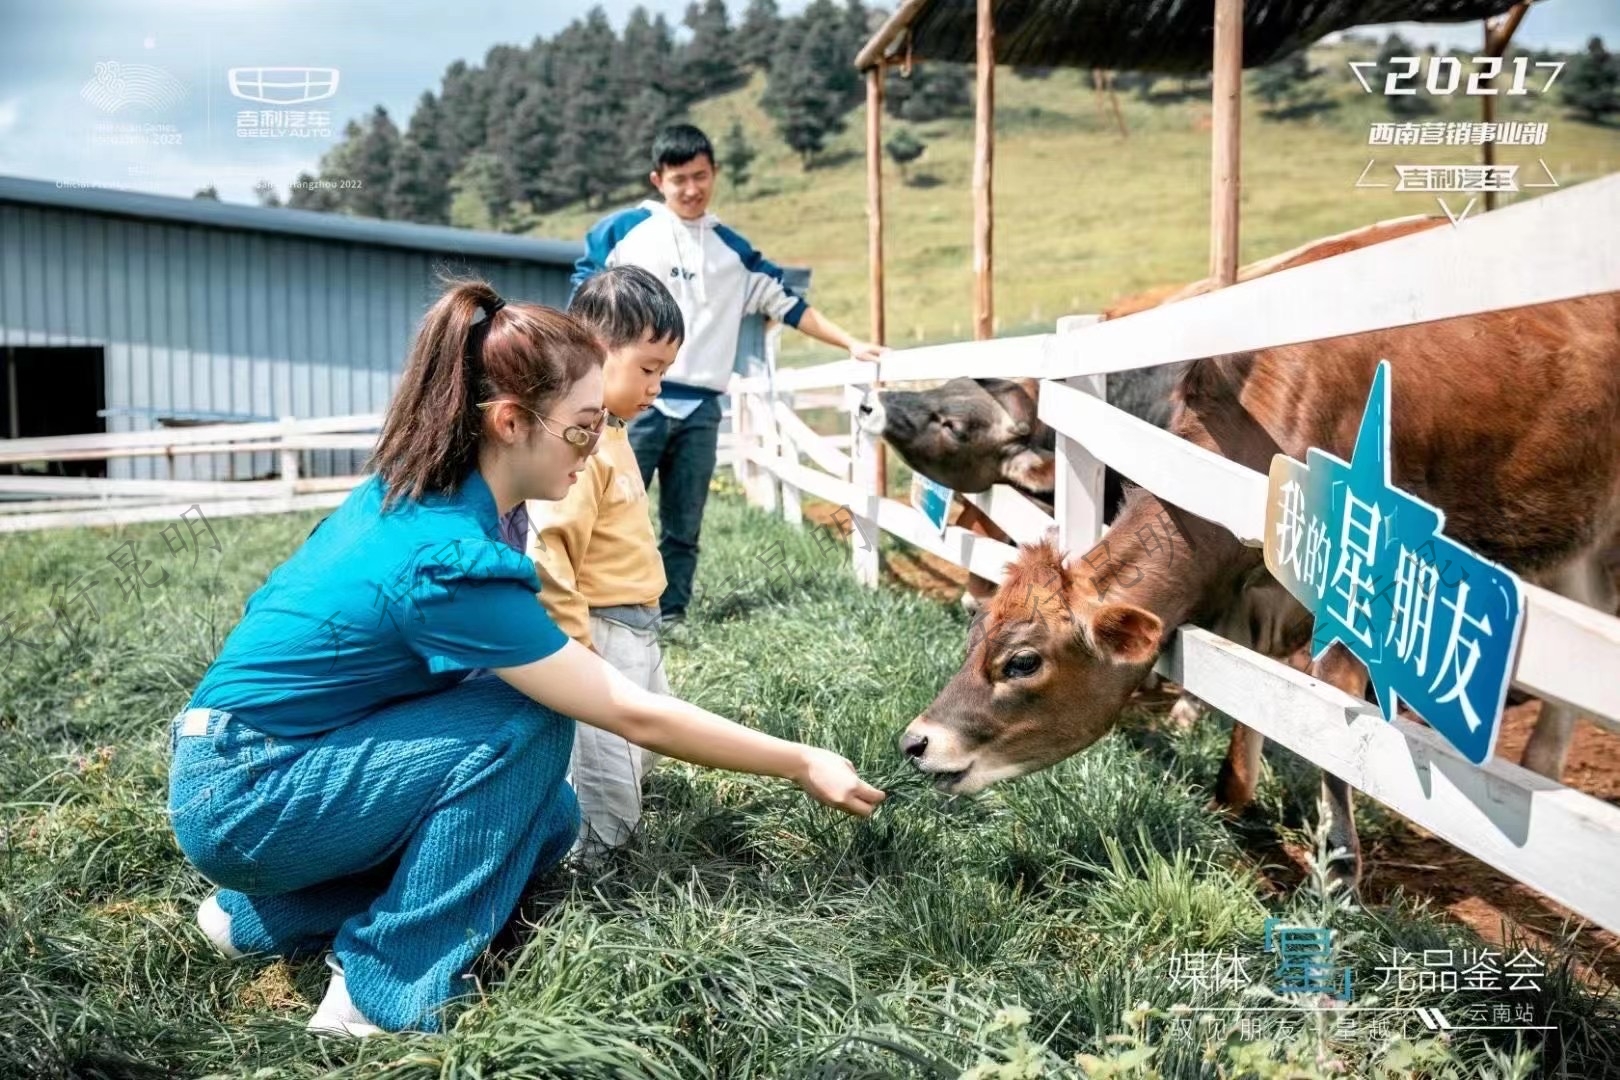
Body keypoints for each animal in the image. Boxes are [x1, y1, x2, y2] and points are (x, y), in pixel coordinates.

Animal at [900, 220, 1620, 887]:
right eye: (973, 641)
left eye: (1022, 662)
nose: (915, 740)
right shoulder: (1256, 601)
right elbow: (1258, 699)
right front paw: (1231, 795)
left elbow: (1331, 708)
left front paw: (1338, 862)